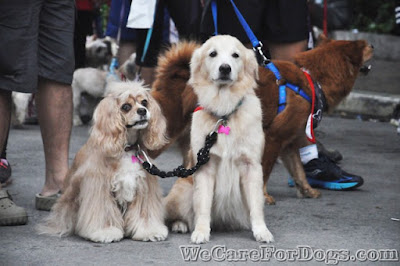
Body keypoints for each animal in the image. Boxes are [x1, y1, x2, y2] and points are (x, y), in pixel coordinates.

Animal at [36, 81, 168, 243]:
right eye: (126, 106)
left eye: (144, 102)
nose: (143, 111)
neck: (126, 148)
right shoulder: (99, 186)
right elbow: (104, 213)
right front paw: (106, 232)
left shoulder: (144, 186)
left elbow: (144, 214)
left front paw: (150, 231)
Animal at [149, 35, 372, 206]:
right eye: (363, 46)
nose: (372, 45)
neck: (312, 78)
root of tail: (176, 73)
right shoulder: (274, 138)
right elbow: (265, 171)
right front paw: (263, 196)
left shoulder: (289, 143)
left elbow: (298, 170)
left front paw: (307, 190)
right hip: (165, 135)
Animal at [164, 34, 274, 243]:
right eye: (212, 54)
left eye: (235, 55)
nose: (225, 68)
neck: (224, 112)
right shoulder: (205, 168)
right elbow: (202, 206)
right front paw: (200, 231)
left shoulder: (251, 166)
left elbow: (257, 205)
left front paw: (261, 231)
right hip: (183, 191)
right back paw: (180, 225)